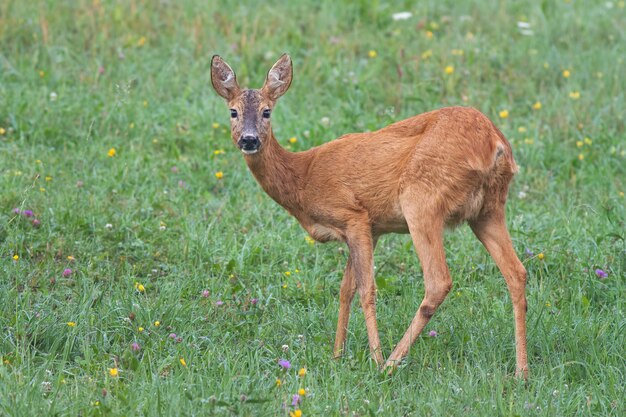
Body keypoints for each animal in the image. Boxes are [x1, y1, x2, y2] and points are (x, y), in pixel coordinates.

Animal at [210, 52, 528, 376]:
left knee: (439, 281)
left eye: (267, 112)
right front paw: (336, 355)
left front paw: (373, 357)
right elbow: (345, 289)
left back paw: (389, 364)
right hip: (488, 209)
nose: (249, 140)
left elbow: (366, 289)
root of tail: (495, 143)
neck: (303, 178)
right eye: (233, 112)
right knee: (516, 272)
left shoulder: (354, 215)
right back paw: (521, 372)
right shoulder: (370, 228)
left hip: (422, 200)